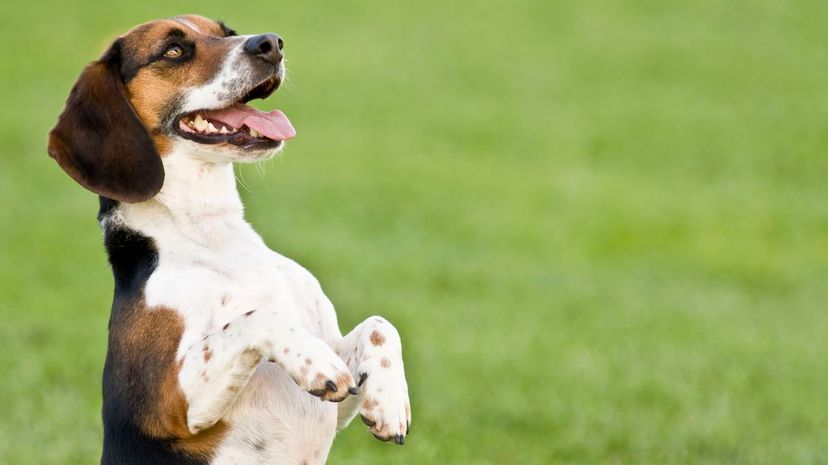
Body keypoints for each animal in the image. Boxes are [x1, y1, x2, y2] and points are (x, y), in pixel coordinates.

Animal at [47, 14, 410, 464]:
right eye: (173, 50)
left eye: (227, 32)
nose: (271, 43)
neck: (212, 234)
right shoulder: (169, 406)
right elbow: (257, 318)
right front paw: (316, 363)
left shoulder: (340, 399)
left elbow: (379, 324)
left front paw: (389, 403)